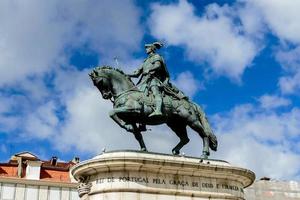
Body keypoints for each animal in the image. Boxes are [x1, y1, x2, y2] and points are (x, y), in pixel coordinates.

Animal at [88, 66, 217, 159]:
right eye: (95, 84)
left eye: (100, 81)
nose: (106, 96)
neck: (127, 93)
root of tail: (191, 103)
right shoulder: (132, 119)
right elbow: (137, 135)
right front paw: (143, 149)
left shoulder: (132, 110)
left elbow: (111, 112)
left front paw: (127, 127)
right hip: (175, 124)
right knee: (185, 139)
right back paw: (175, 151)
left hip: (191, 120)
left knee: (204, 134)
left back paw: (204, 154)